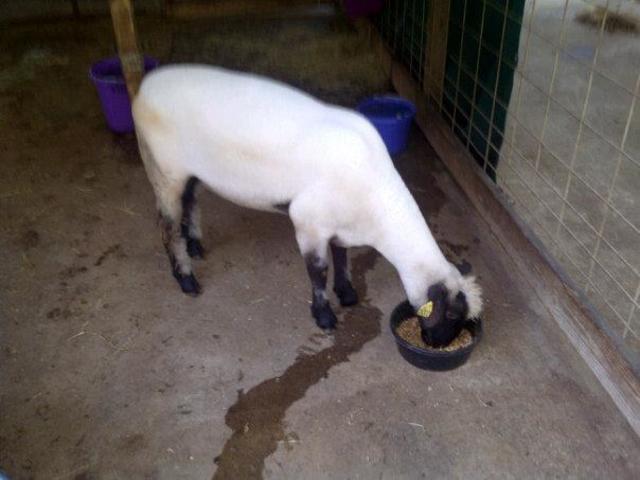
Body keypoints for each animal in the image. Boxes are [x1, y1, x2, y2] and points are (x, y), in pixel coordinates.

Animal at [132, 64, 482, 342]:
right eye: (452, 314)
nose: (437, 343)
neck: (377, 205)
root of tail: (145, 87)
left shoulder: (338, 223)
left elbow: (342, 255)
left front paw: (347, 293)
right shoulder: (308, 222)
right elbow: (318, 270)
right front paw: (325, 316)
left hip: (189, 172)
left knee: (190, 201)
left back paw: (194, 245)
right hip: (163, 169)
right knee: (166, 227)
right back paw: (186, 278)